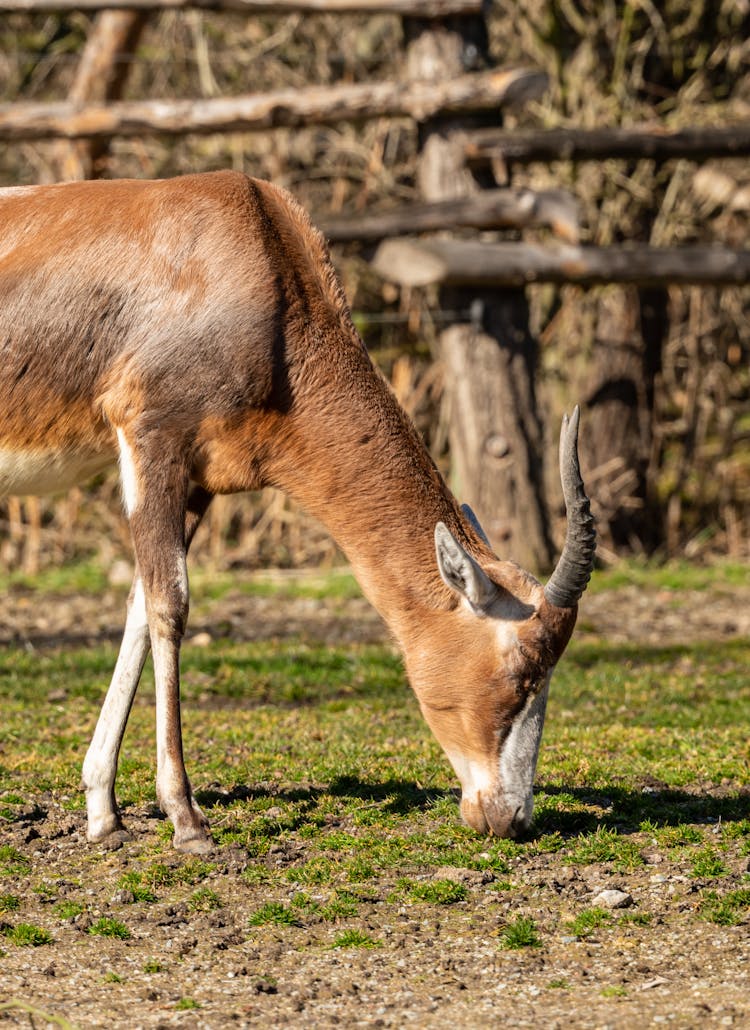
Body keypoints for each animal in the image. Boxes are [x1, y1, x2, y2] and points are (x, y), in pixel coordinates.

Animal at [0, 173, 597, 856]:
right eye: (523, 670)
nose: (511, 818)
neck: (258, 251)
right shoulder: (152, 439)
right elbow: (170, 605)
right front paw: (188, 820)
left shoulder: (199, 478)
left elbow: (139, 606)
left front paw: (104, 814)